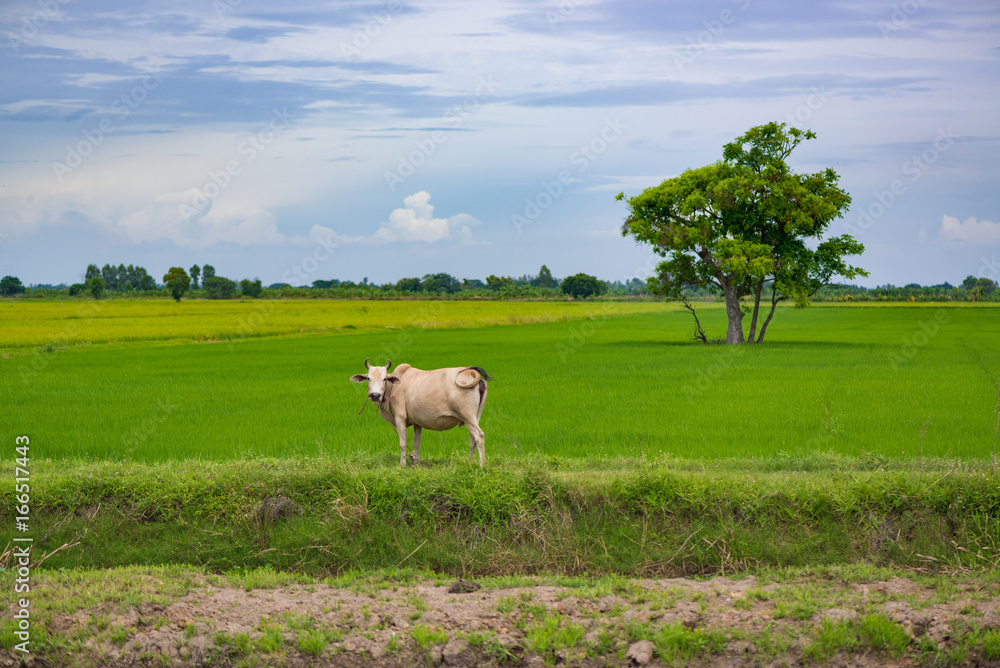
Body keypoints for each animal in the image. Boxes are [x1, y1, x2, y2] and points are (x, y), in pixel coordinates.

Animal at [352, 358, 492, 468]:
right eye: (368, 378)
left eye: (384, 378)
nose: (375, 395)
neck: (394, 386)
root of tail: (471, 373)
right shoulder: (417, 423)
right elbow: (416, 443)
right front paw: (416, 463)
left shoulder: (400, 417)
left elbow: (403, 443)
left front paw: (402, 465)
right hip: (474, 417)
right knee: (472, 439)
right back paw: (471, 463)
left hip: (468, 416)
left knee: (479, 436)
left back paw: (481, 465)